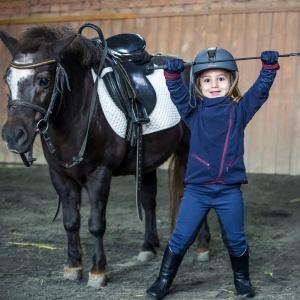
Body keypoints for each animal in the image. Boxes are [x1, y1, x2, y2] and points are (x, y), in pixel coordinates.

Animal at [0, 24, 211, 288]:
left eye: (44, 80)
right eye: (7, 79)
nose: (12, 135)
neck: (78, 114)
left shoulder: (99, 174)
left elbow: (96, 224)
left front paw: (98, 271)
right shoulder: (60, 177)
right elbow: (71, 221)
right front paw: (73, 266)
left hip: (189, 151)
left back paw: (203, 246)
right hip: (147, 161)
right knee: (148, 200)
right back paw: (147, 248)